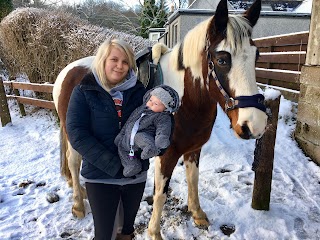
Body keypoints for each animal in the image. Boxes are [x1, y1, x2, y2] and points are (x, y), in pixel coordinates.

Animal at [53, 0, 268, 239]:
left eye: (256, 56)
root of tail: (68, 69)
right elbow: (160, 194)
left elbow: (193, 180)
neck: (185, 99)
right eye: (222, 59)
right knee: (73, 162)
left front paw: (198, 214)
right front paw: (155, 232)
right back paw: (78, 205)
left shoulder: (194, 150)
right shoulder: (167, 155)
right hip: (73, 135)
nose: (255, 125)